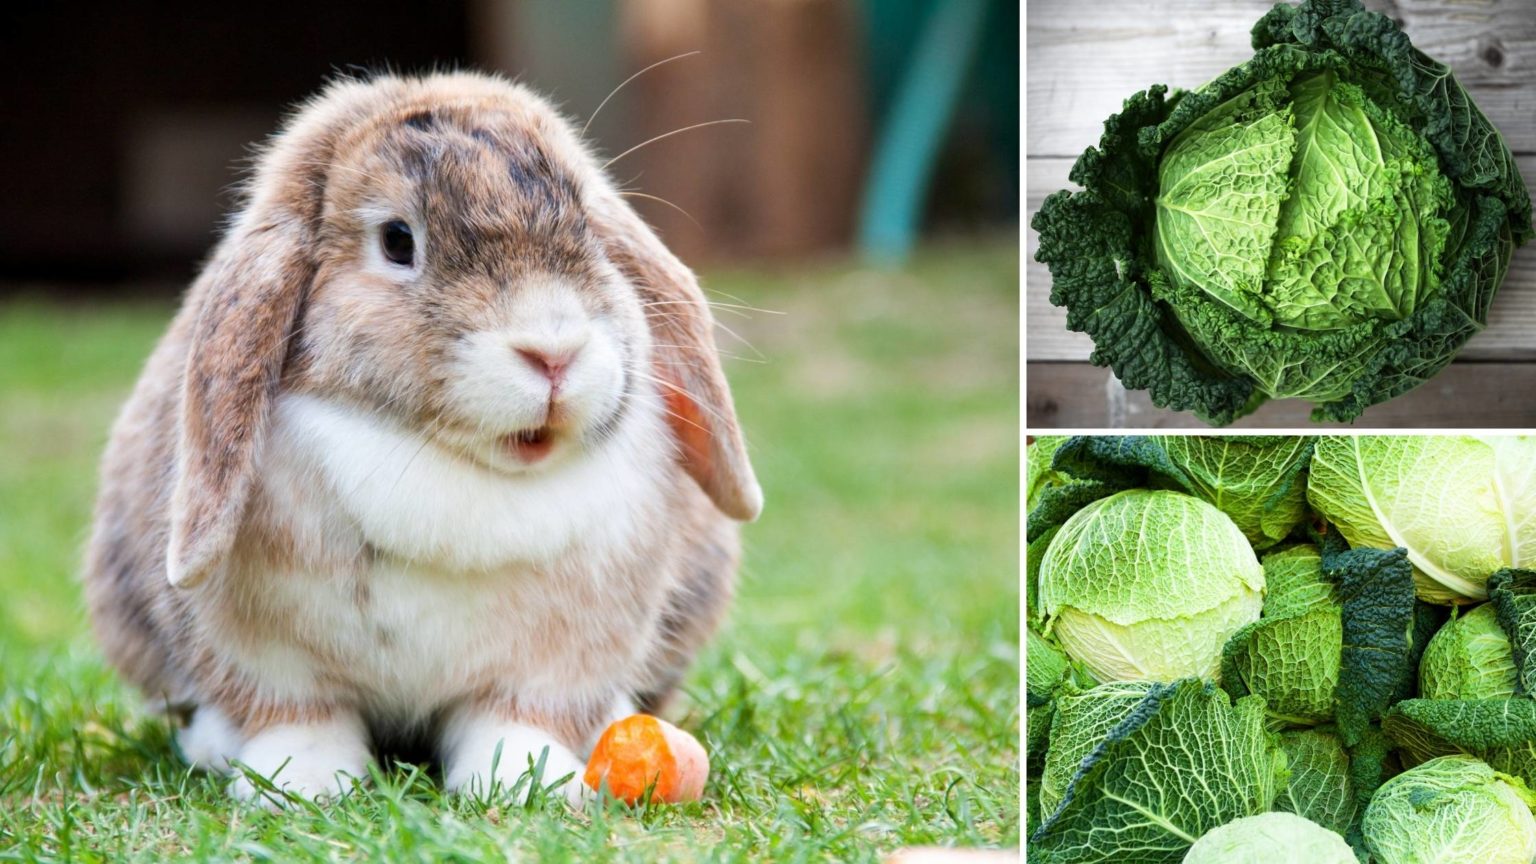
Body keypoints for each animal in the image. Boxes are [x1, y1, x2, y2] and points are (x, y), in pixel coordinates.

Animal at [82, 71, 762, 807]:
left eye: (587, 224)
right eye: (398, 241)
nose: (554, 352)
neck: (452, 465)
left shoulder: (554, 663)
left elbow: (515, 720)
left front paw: (527, 784)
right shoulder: (269, 660)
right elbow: (300, 717)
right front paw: (302, 785)